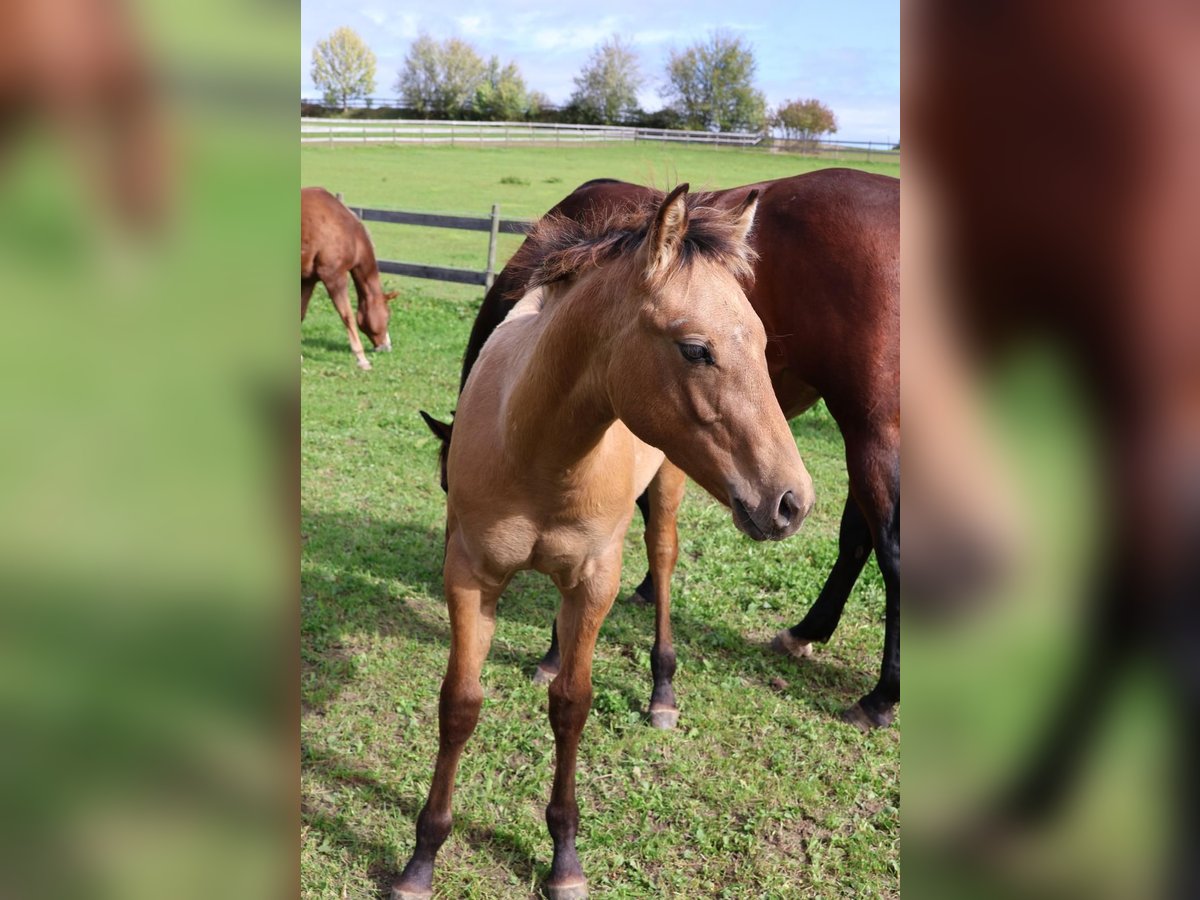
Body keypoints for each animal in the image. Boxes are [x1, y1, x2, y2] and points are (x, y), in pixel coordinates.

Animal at [301, 186, 398, 370]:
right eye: (388, 316)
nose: (386, 346)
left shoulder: (308, 280)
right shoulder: (334, 277)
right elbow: (348, 317)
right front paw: (362, 359)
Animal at [392, 186, 814, 900]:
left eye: (760, 341)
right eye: (695, 349)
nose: (792, 501)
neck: (539, 449)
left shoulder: (597, 578)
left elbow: (572, 707)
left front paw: (564, 858)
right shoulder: (472, 575)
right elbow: (460, 704)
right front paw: (422, 858)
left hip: (666, 490)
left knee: (663, 563)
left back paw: (662, 693)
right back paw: (550, 655)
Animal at [423, 168, 901, 730]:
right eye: (697, 349)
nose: (791, 502)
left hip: (869, 429)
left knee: (888, 548)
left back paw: (877, 697)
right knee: (858, 537)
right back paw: (806, 633)